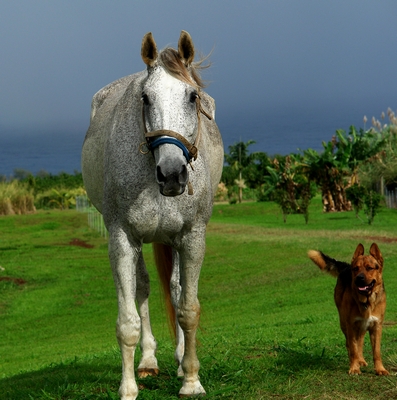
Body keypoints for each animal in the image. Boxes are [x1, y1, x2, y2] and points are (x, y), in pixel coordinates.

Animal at [81, 32, 223, 400]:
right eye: (145, 98)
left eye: (192, 96)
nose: (171, 174)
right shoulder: (122, 238)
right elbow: (127, 321)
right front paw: (128, 388)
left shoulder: (192, 237)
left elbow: (188, 309)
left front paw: (192, 380)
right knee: (143, 288)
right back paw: (147, 361)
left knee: (174, 289)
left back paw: (179, 360)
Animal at [306, 242, 386, 376]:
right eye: (356, 269)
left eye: (369, 268)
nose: (359, 278)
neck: (367, 301)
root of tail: (346, 266)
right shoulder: (351, 325)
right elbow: (353, 348)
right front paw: (354, 368)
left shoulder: (376, 326)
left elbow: (377, 352)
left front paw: (380, 369)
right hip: (344, 323)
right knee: (350, 344)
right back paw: (356, 361)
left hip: (362, 326)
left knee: (360, 341)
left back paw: (361, 360)